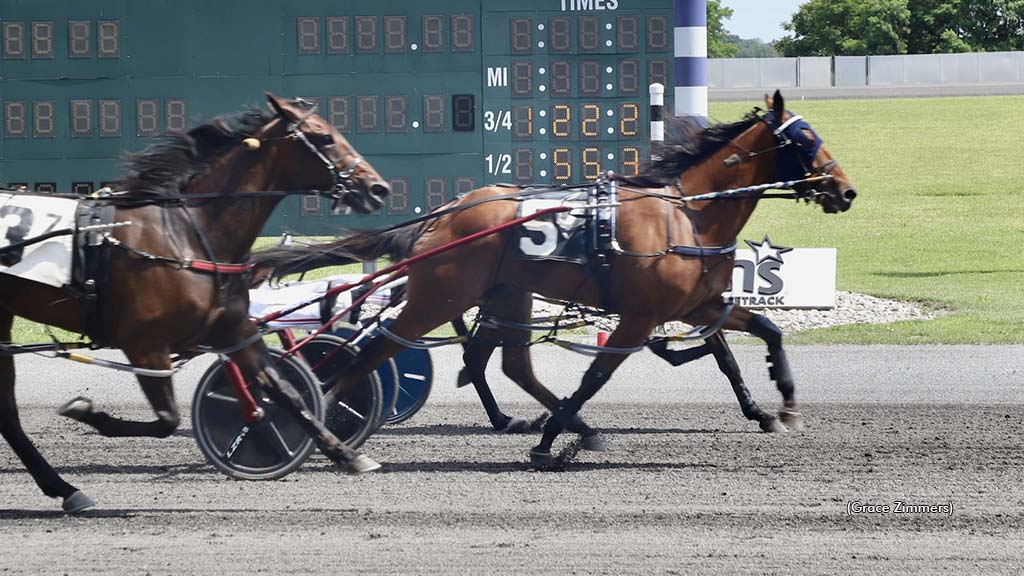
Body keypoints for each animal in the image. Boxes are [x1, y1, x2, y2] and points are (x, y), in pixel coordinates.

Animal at [1, 94, 387, 510]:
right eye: (324, 137)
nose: (378, 188)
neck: (184, 234)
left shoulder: (235, 333)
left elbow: (286, 392)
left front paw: (346, 454)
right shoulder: (145, 344)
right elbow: (167, 420)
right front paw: (88, 412)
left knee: (8, 414)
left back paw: (64, 489)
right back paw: (64, 487)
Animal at [253, 90, 856, 461]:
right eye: (805, 141)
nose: (846, 191)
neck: (687, 213)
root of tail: (442, 215)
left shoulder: (698, 305)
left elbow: (755, 339)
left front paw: (778, 406)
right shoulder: (640, 316)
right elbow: (597, 376)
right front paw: (549, 440)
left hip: (506, 294)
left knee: (506, 363)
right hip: (440, 296)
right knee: (374, 350)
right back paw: (324, 420)